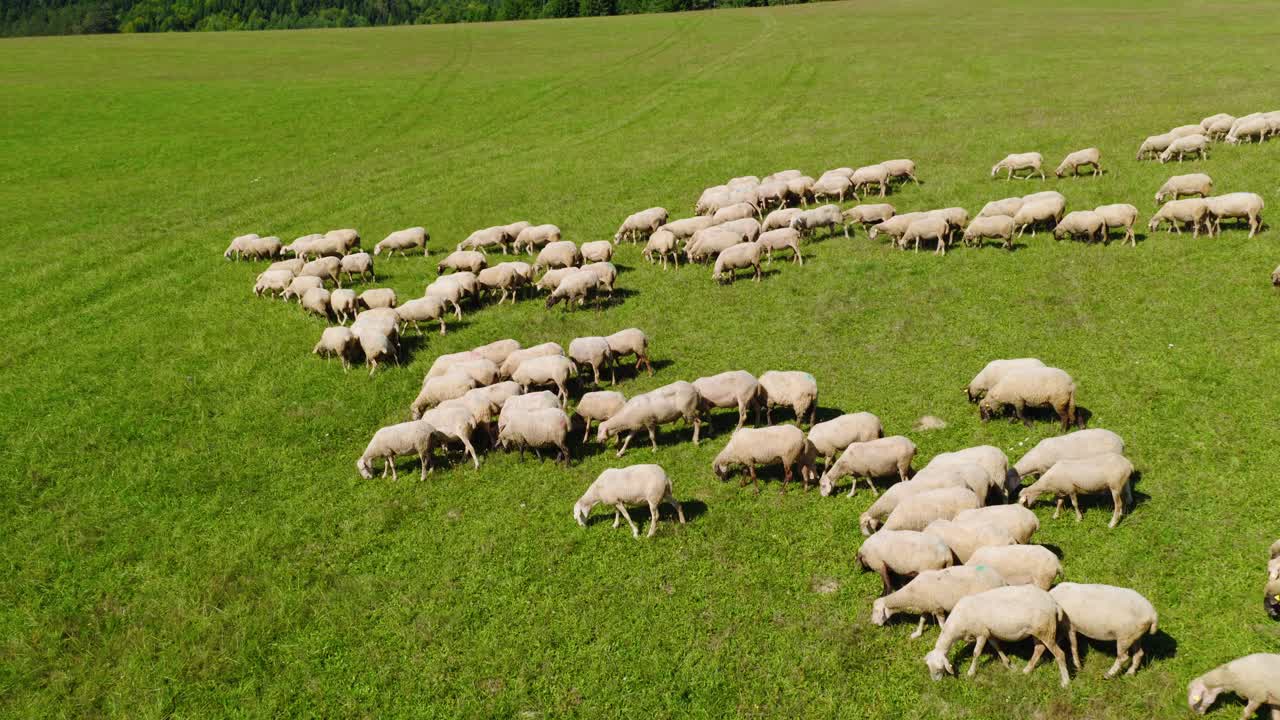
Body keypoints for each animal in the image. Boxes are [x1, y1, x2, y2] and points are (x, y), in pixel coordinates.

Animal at [872, 565, 1007, 639]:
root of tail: (1000, 579)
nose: (873, 623)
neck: (912, 593)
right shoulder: (926, 607)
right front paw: (917, 634)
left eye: (877, 611)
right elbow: (922, 620)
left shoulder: (938, 608)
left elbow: (942, 625)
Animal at [924, 585, 1071, 687]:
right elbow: (996, 646)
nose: (935, 682)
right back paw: (1026, 670)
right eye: (929, 667)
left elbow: (976, 653)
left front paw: (971, 672)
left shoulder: (981, 633)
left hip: (1046, 630)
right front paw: (1008, 664)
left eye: (939, 669)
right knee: (1039, 649)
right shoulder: (989, 633)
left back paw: (1066, 682)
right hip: (1038, 631)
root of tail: (1054, 603)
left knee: (1060, 654)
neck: (957, 625)